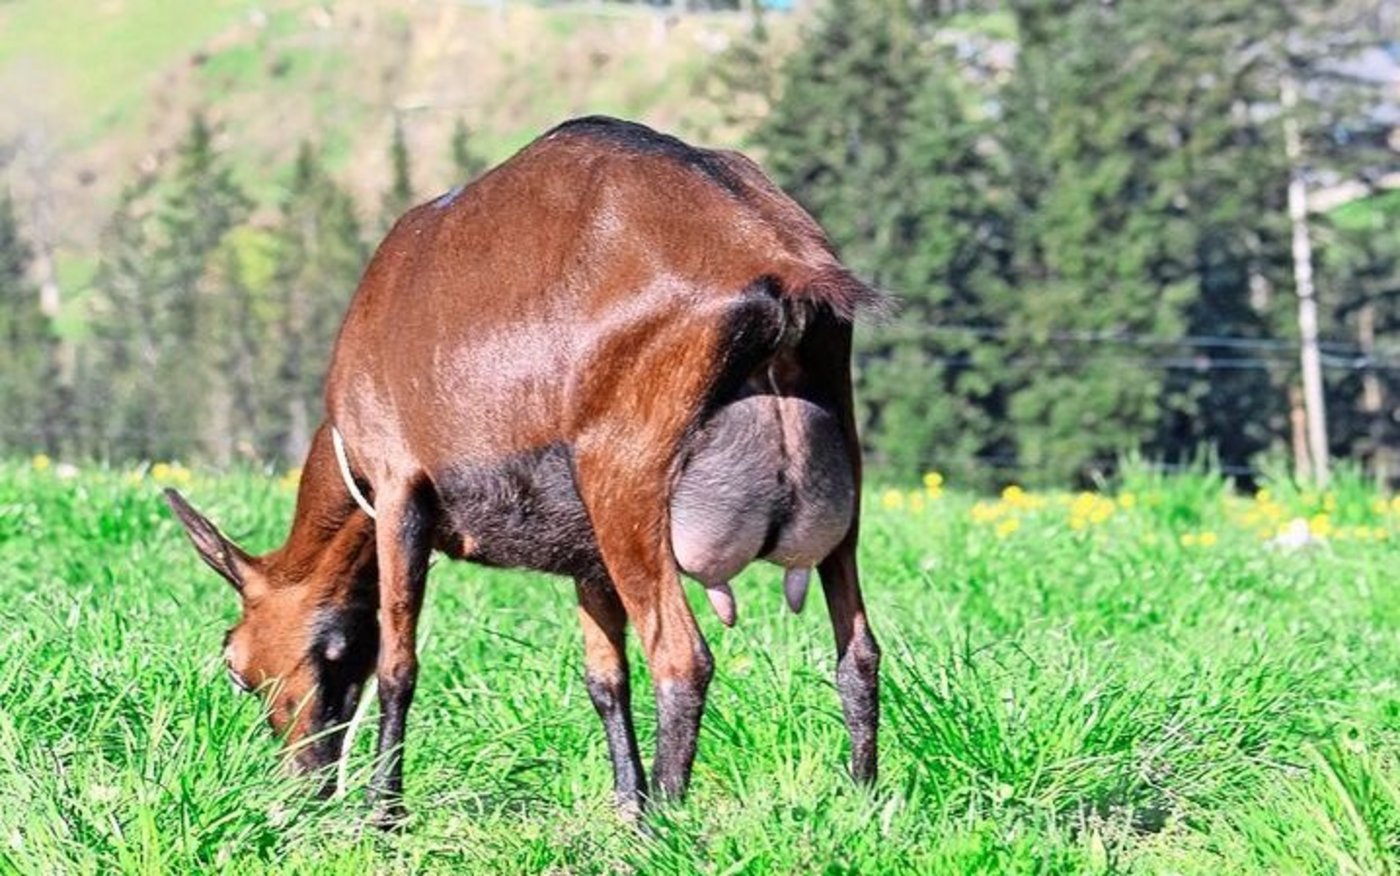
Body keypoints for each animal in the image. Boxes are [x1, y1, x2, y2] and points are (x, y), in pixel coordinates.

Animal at [165, 116, 883, 822]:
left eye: (236, 666)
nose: (301, 787)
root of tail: (779, 259)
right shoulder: (584, 549)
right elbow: (605, 677)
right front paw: (626, 807)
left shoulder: (399, 486)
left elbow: (398, 662)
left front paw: (383, 811)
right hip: (838, 474)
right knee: (858, 649)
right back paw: (862, 802)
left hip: (625, 480)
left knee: (681, 658)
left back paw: (669, 824)